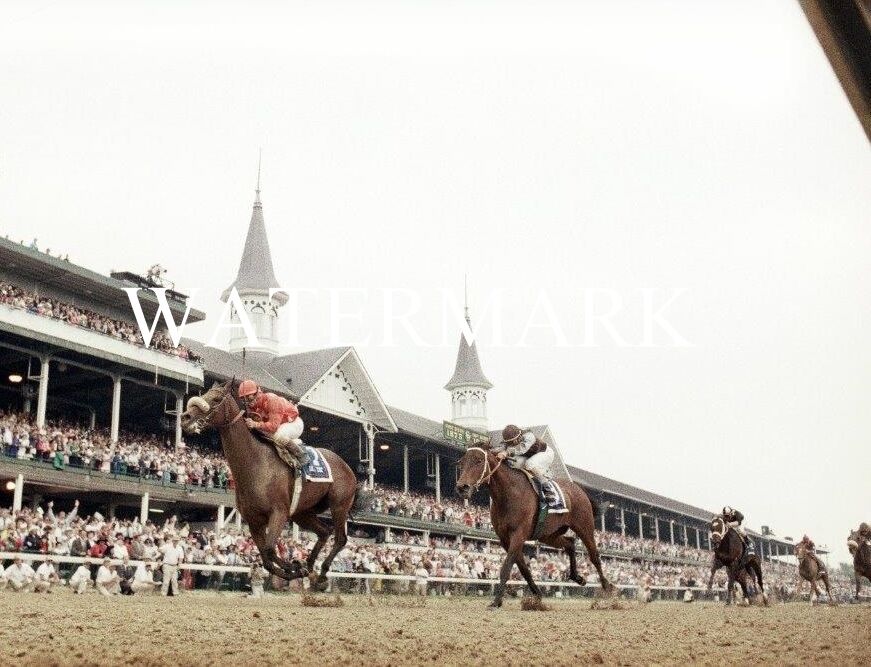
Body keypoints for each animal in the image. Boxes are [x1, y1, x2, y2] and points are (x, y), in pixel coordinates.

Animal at [181, 378, 364, 592]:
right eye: (204, 394)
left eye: (216, 399)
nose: (185, 417)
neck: (256, 464)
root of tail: (348, 467)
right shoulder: (254, 521)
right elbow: (266, 559)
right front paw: (296, 568)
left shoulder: (279, 513)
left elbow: (269, 550)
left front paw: (294, 567)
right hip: (302, 513)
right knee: (324, 532)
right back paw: (310, 567)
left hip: (339, 505)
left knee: (340, 538)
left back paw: (321, 574)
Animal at [456, 446, 612, 608]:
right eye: (461, 463)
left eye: (479, 460)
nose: (462, 487)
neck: (508, 494)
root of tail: (580, 490)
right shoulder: (505, 539)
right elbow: (523, 568)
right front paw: (537, 594)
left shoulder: (518, 534)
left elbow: (506, 567)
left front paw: (496, 601)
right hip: (548, 535)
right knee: (570, 543)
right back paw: (577, 577)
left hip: (584, 526)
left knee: (594, 556)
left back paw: (607, 587)